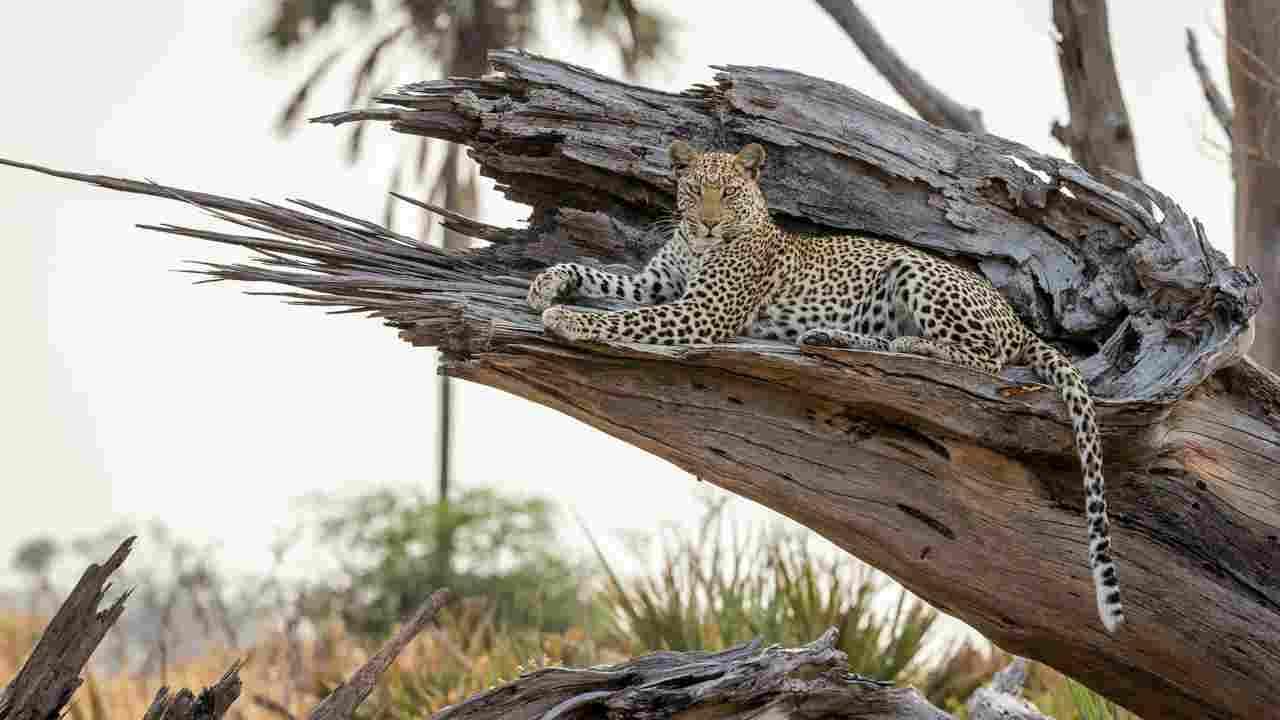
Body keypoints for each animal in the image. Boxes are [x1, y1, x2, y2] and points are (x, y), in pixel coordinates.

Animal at [527, 140, 1124, 633]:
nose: (708, 225)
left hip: (917, 272)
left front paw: (568, 318)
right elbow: (602, 276)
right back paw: (832, 335)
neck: (698, 248)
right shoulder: (656, 285)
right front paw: (548, 284)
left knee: (986, 361)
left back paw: (912, 346)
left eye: (729, 194)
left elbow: (624, 320)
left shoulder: (701, 312)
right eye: (696, 192)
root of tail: (1015, 316)